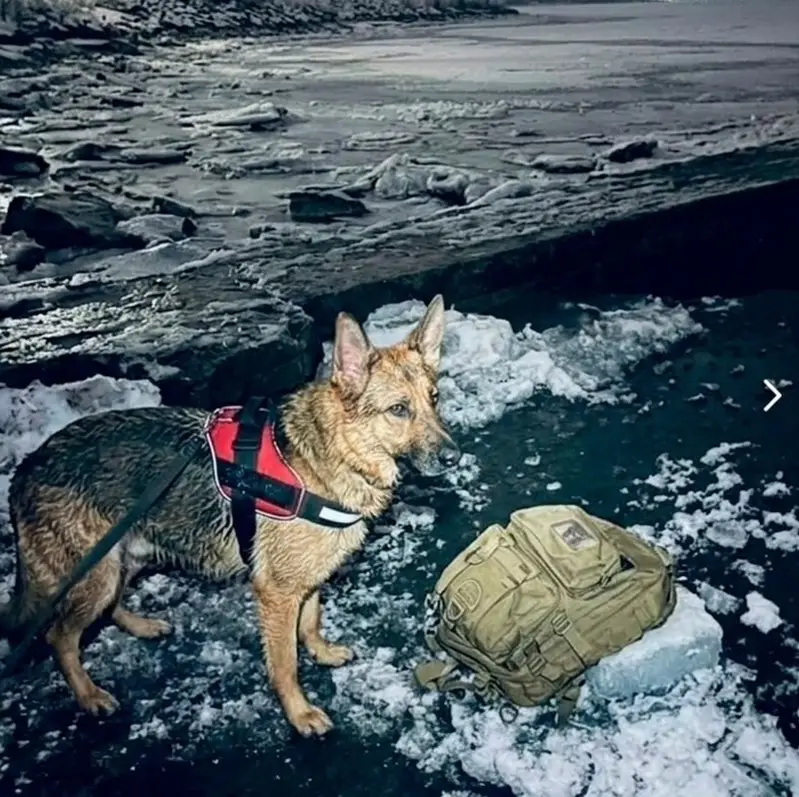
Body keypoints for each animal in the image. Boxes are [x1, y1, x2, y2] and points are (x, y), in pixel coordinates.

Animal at [0, 295, 459, 737]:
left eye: (434, 399)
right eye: (398, 410)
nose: (453, 456)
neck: (333, 454)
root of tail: (26, 468)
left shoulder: (306, 579)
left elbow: (311, 622)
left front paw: (322, 651)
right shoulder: (276, 592)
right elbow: (285, 663)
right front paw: (299, 714)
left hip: (121, 558)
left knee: (109, 606)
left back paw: (142, 626)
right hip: (95, 573)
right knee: (60, 635)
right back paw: (89, 694)